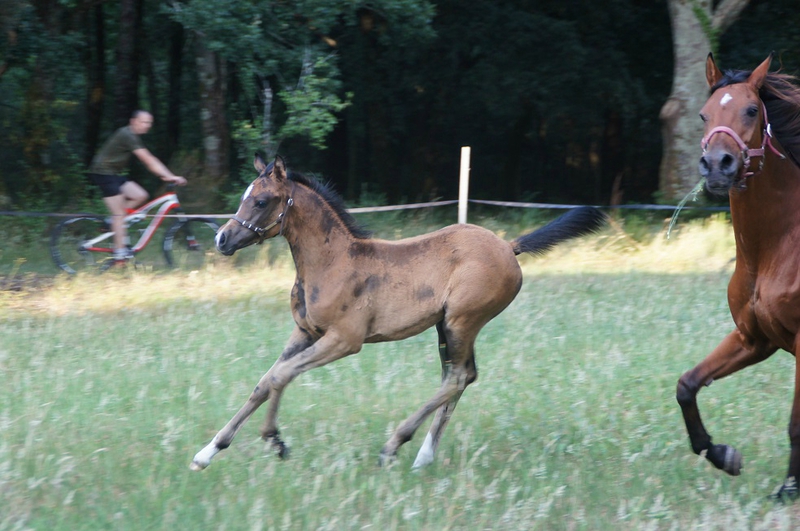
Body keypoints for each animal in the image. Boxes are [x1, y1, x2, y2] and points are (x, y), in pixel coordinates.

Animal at [191, 156, 604, 472]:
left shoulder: (345, 340)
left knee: (456, 378)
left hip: (461, 321)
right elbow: (265, 381)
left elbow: (281, 375)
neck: (332, 262)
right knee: (462, 377)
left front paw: (274, 440)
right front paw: (208, 452)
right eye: (245, 197)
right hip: (446, 327)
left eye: (261, 201)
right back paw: (423, 456)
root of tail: (509, 245)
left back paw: (394, 446)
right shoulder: (305, 332)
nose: (222, 239)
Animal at [680, 54, 800, 498]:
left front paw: (789, 489)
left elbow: (796, 423)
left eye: (751, 110)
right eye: (704, 114)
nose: (717, 164)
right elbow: (687, 385)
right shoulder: (754, 339)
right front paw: (722, 455)